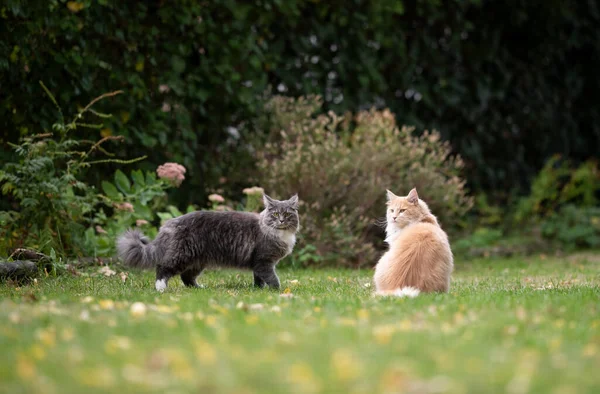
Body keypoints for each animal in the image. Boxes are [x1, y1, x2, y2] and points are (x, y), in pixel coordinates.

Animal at [116, 194, 298, 292]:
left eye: (288, 214)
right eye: (275, 214)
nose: (281, 220)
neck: (279, 233)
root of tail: (171, 222)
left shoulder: (258, 263)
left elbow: (259, 279)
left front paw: (258, 290)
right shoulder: (263, 261)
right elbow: (272, 278)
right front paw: (278, 291)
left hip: (197, 260)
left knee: (186, 277)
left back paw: (198, 289)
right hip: (181, 256)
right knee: (162, 268)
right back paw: (160, 288)